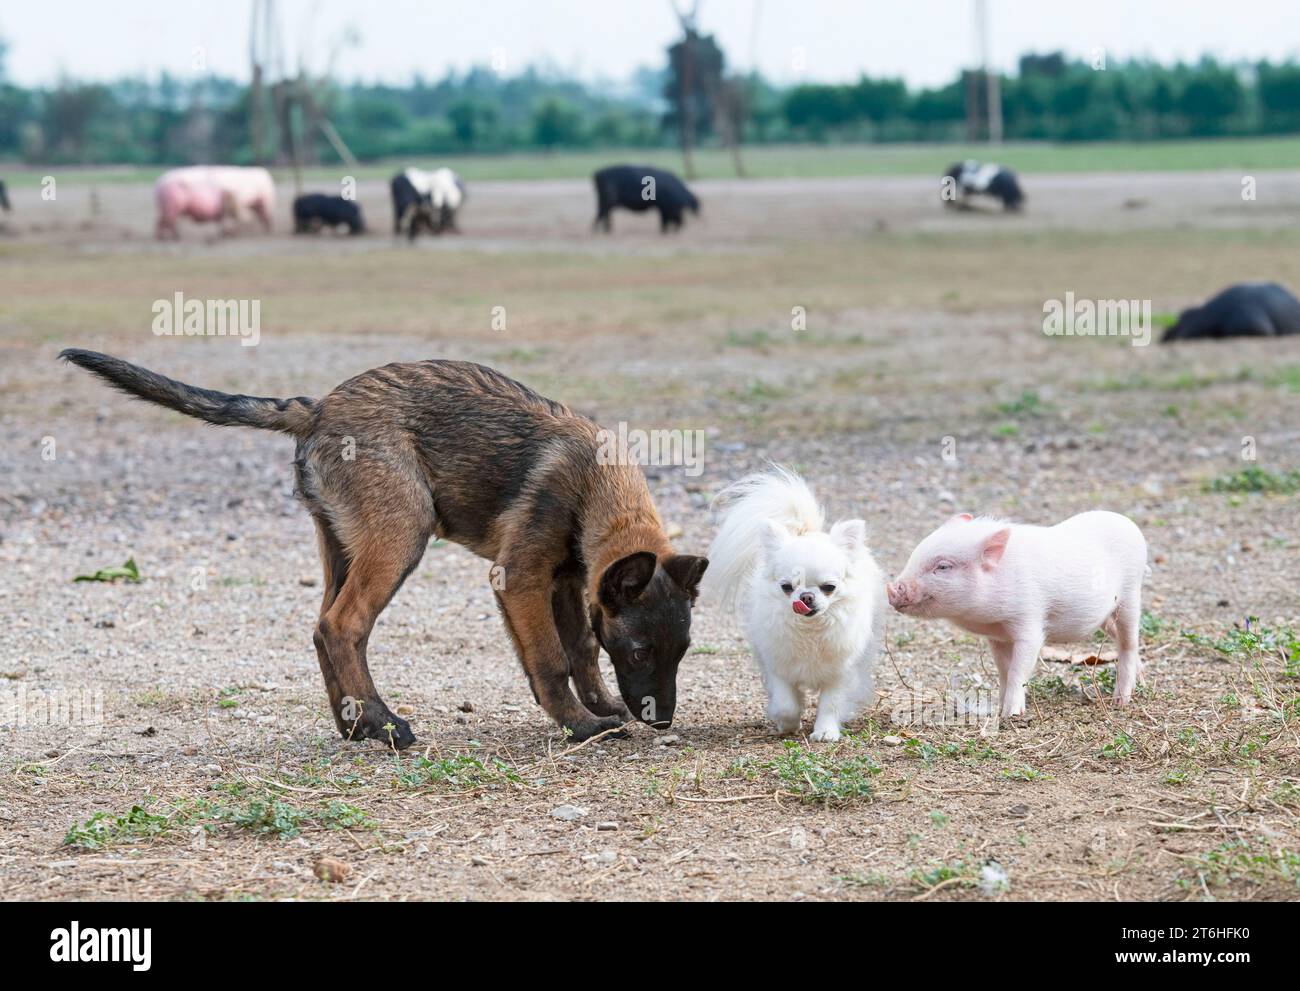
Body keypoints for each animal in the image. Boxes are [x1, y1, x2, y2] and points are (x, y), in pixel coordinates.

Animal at [59, 348, 707, 738]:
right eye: (641, 653)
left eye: (681, 652)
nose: (663, 722)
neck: (594, 485)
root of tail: (318, 408)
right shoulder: (520, 578)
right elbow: (550, 659)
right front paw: (579, 723)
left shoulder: (569, 582)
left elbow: (583, 650)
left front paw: (600, 706)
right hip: (401, 536)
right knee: (342, 625)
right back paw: (384, 723)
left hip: (344, 546)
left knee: (325, 627)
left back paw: (356, 724)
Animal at [883, 512, 1149, 712]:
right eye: (914, 555)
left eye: (943, 567)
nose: (892, 589)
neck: (989, 619)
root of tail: (1129, 524)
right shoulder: (997, 636)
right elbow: (1003, 669)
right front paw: (998, 707)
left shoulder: (1029, 622)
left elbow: (1018, 669)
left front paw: (1011, 714)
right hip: (1105, 616)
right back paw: (1142, 681)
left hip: (1130, 594)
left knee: (1129, 643)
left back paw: (1121, 701)